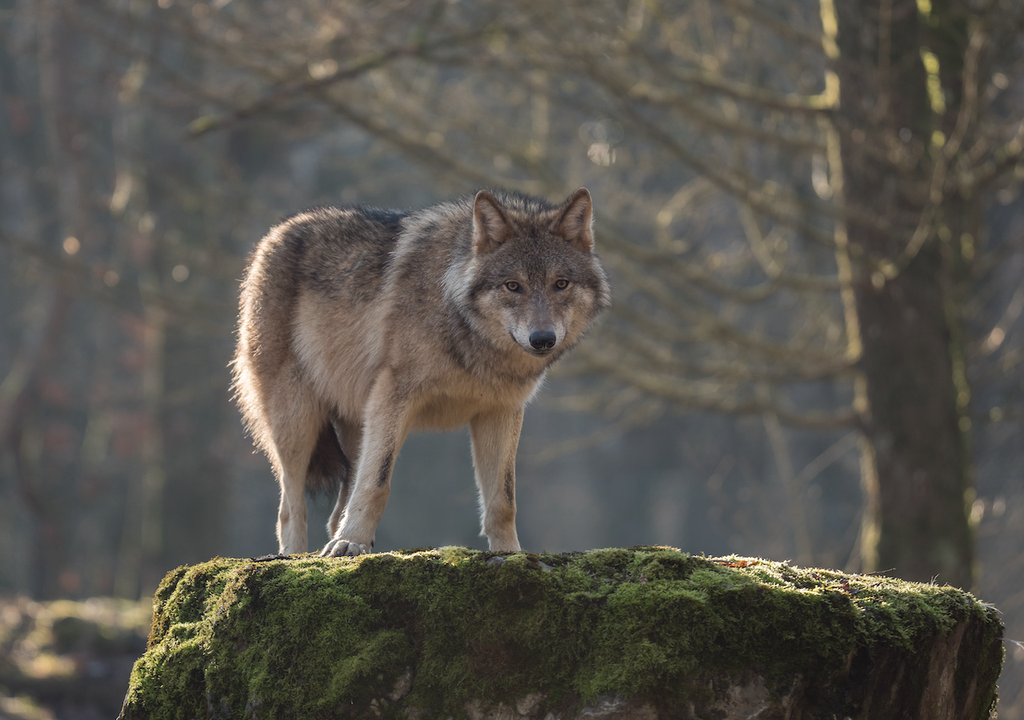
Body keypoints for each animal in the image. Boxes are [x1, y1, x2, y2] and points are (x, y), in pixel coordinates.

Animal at [233, 188, 610, 557]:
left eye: (560, 284)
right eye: (513, 286)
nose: (542, 339)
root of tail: (275, 233)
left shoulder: (500, 411)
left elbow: (503, 501)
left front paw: (511, 554)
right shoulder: (393, 396)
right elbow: (377, 483)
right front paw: (350, 542)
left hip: (353, 428)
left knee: (336, 509)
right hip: (297, 420)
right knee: (290, 507)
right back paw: (296, 556)